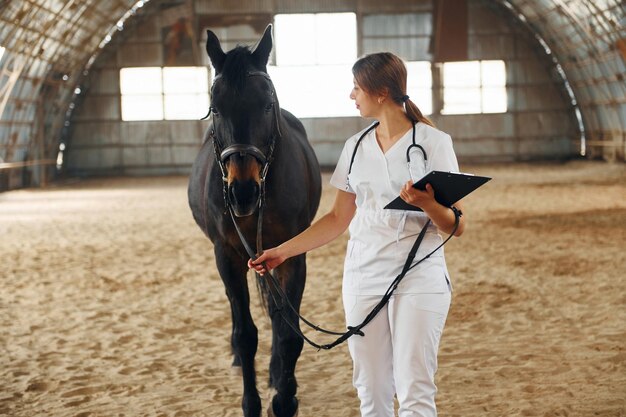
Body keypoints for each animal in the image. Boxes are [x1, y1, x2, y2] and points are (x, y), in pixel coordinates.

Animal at [186, 23, 320, 416]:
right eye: (215, 108)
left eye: (266, 104)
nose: (242, 192)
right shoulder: (227, 256)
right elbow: (245, 335)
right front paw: (251, 402)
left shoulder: (292, 254)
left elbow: (288, 331)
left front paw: (285, 399)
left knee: (277, 314)